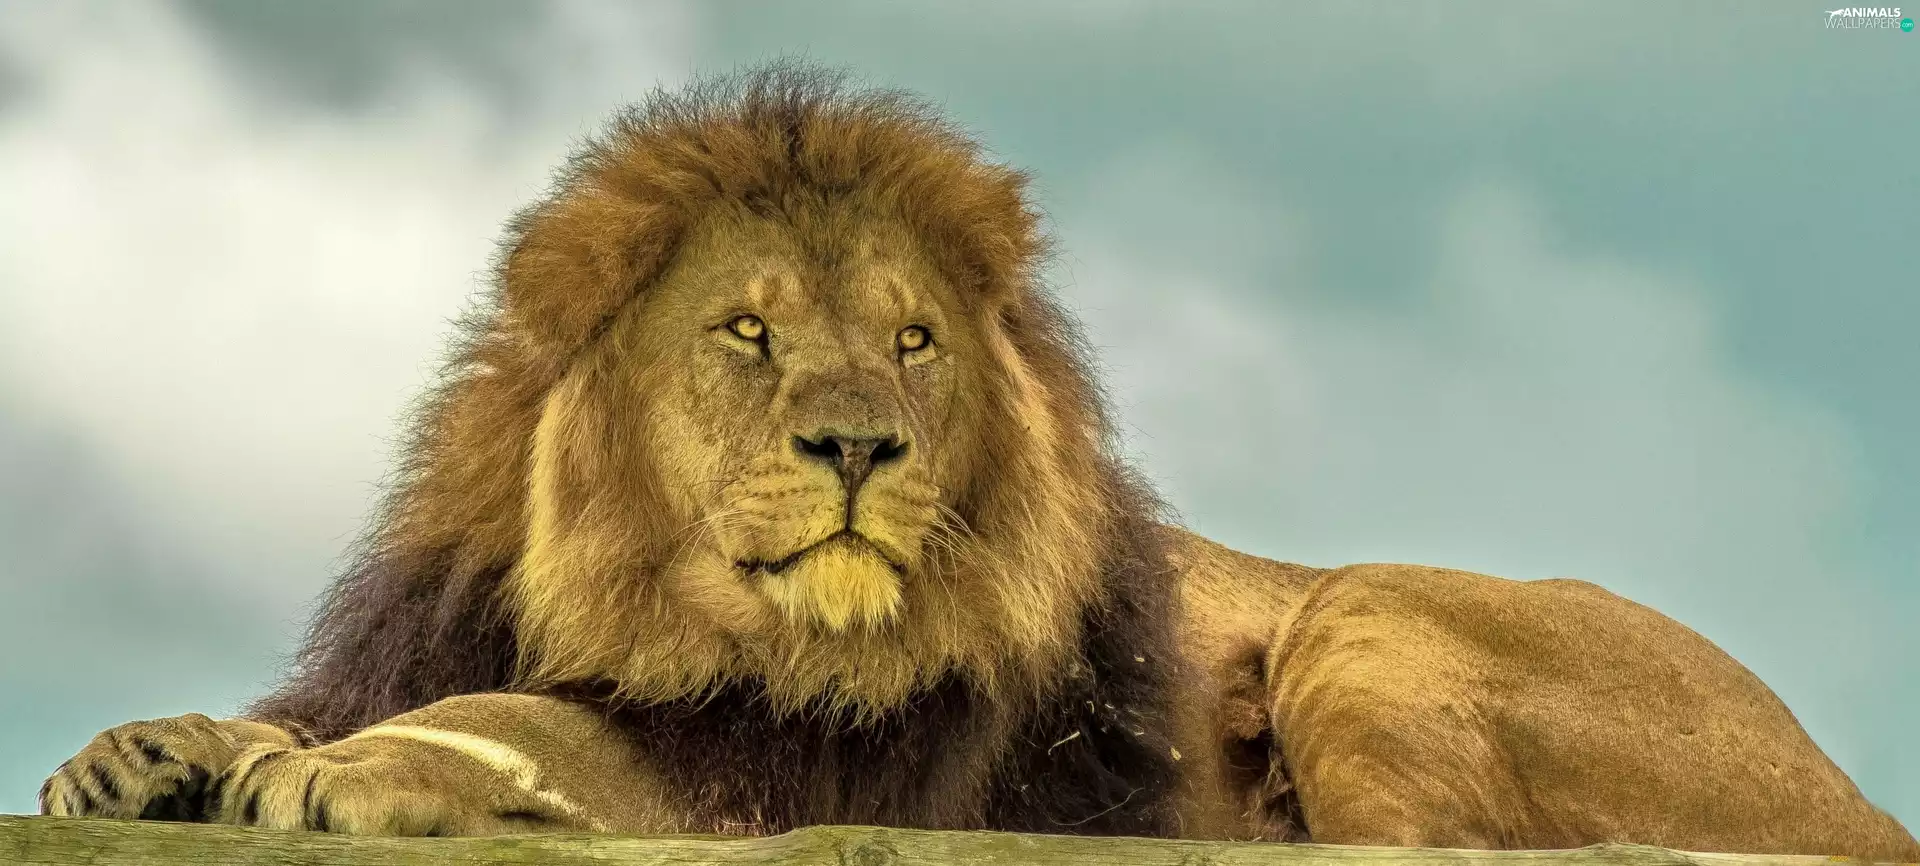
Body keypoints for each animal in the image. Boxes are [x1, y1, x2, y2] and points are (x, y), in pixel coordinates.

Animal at [37, 63, 1919, 860]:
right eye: (749, 331)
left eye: (916, 341)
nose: (860, 443)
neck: (642, 600)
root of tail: (1861, 798)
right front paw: (144, 754)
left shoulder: (794, 775)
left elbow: (540, 725)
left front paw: (347, 771)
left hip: (1366, 610)